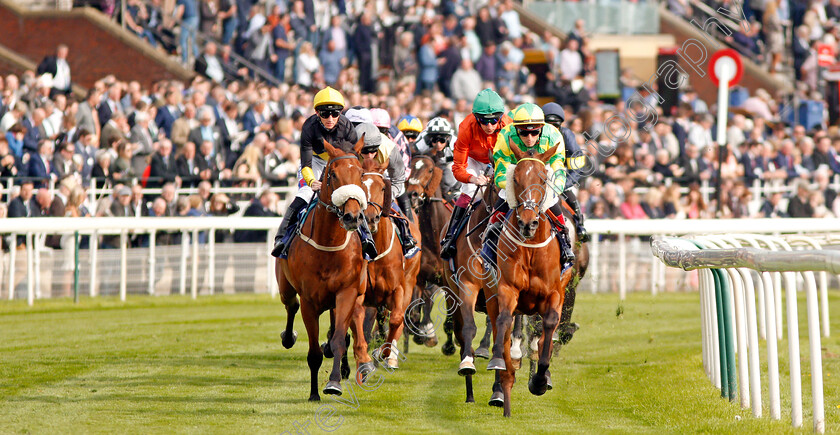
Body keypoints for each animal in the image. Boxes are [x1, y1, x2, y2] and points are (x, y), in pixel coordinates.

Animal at [278, 137, 372, 402]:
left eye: (361, 174)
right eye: (332, 175)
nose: (352, 217)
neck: (329, 245)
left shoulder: (346, 292)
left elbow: (339, 339)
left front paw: (334, 383)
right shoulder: (309, 301)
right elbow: (313, 353)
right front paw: (313, 394)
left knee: (351, 323)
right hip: (285, 286)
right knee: (290, 305)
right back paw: (288, 337)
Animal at [360, 158, 424, 370]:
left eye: (382, 187)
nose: (370, 218)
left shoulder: (397, 288)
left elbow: (396, 319)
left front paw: (384, 353)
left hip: (410, 280)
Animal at [482, 141, 576, 418]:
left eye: (543, 179)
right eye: (516, 178)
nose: (527, 222)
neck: (531, 246)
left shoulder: (555, 293)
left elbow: (549, 328)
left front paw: (540, 381)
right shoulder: (507, 289)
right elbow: (503, 322)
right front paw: (499, 362)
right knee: (500, 332)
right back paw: (501, 393)